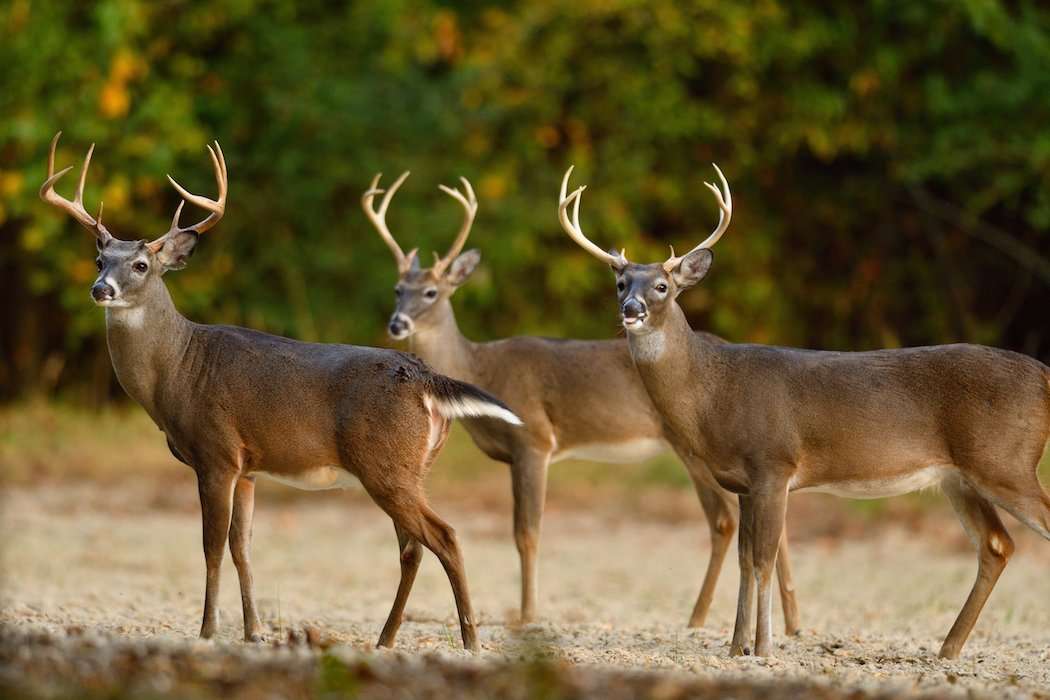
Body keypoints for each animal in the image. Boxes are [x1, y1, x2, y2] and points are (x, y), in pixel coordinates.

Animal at [39, 133, 525, 652]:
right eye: (98, 259)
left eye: (141, 264)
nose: (100, 289)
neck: (178, 368)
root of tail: (425, 376)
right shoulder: (248, 467)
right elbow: (242, 547)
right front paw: (253, 631)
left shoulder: (216, 452)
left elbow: (212, 547)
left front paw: (207, 630)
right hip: (412, 468)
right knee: (413, 547)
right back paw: (386, 638)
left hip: (386, 465)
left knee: (444, 535)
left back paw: (469, 640)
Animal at [360, 172, 801, 634]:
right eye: (397, 289)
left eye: (431, 292)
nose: (397, 323)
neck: (481, 367)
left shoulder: (534, 440)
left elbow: (527, 533)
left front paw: (528, 615)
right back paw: (790, 623)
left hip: (692, 447)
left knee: (725, 519)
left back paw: (698, 618)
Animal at [557, 163, 1050, 659]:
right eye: (620, 284)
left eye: (662, 286)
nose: (631, 309)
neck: (712, 393)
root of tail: (1044, 374)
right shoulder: (744, 481)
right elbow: (745, 560)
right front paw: (737, 647)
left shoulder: (774, 465)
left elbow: (763, 559)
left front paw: (764, 647)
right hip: (961, 477)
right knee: (997, 545)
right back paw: (947, 649)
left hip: (1005, 461)